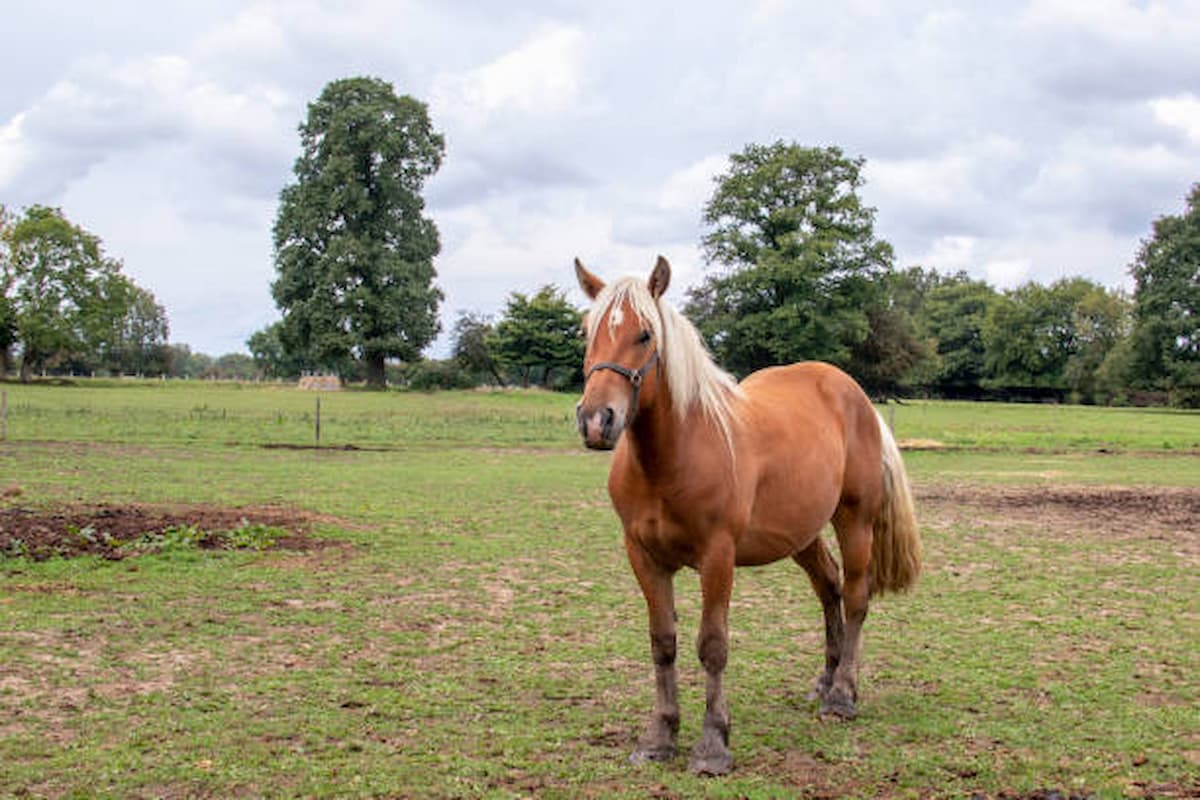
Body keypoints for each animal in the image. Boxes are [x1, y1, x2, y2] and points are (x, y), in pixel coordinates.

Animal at [571, 255, 916, 777]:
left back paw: (842, 695)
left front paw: (713, 744)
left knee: (856, 596)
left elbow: (712, 646)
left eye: (645, 334)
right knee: (829, 587)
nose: (596, 420)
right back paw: (825, 679)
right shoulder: (644, 556)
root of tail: (854, 394)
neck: (675, 454)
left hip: (854, 520)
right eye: (587, 331)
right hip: (801, 535)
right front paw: (659, 738)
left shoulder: (718, 557)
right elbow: (662, 642)